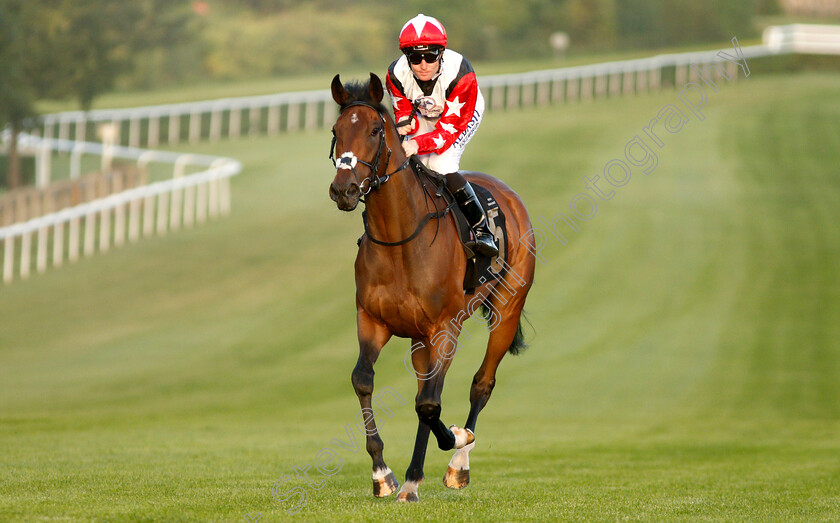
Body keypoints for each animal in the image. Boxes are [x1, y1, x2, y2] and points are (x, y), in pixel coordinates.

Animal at [324, 71, 536, 502]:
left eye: (375, 130)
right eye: (336, 131)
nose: (344, 189)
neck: (400, 240)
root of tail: (510, 196)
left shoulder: (445, 329)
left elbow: (430, 405)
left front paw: (455, 438)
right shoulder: (372, 320)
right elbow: (364, 380)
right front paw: (383, 473)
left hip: (506, 311)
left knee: (480, 384)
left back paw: (458, 463)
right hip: (420, 338)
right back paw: (412, 478)